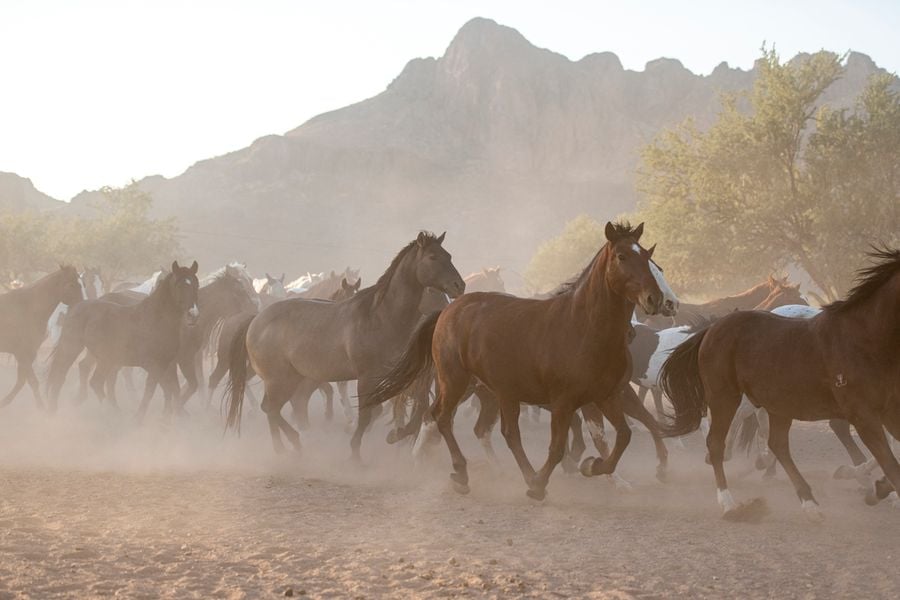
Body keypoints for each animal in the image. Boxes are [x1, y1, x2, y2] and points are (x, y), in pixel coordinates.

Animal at [0, 266, 84, 410]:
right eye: (71, 285)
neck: (28, 309)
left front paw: (4, 402)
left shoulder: (29, 353)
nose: (82, 306)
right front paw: (42, 409)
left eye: (80, 284)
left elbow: (23, 380)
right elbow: (32, 381)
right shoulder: (22, 353)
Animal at [46, 262, 200, 418]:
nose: (193, 315)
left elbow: (170, 389)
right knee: (73, 376)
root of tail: (76, 307)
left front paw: (169, 417)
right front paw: (139, 418)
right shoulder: (152, 364)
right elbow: (153, 390)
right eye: (178, 285)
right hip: (76, 349)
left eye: (196, 285)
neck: (155, 320)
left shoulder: (167, 364)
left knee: (91, 379)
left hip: (104, 358)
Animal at [225, 231, 468, 460]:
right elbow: (367, 414)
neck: (381, 316)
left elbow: (392, 409)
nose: (460, 285)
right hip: (279, 379)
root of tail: (255, 320)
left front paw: (394, 435)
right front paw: (355, 455)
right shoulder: (367, 377)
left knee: (277, 408)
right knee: (272, 408)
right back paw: (287, 446)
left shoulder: (392, 376)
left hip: (292, 378)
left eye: (449, 255)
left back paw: (289, 445)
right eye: (433, 257)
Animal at [368, 223, 676, 500]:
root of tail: (448, 310)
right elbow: (559, 446)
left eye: (647, 257)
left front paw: (593, 467)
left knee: (496, 431)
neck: (584, 327)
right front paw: (541, 484)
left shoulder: (607, 396)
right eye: (622, 256)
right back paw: (460, 472)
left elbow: (623, 435)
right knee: (441, 417)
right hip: (457, 381)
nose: (657, 299)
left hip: (497, 392)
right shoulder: (565, 401)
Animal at [660, 248, 900, 520]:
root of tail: (712, 328)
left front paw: (877, 488)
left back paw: (809, 501)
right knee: (717, 442)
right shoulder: (864, 415)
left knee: (777, 444)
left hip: (779, 405)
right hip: (725, 397)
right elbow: (890, 462)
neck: (863, 340)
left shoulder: (888, 411)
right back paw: (730, 504)